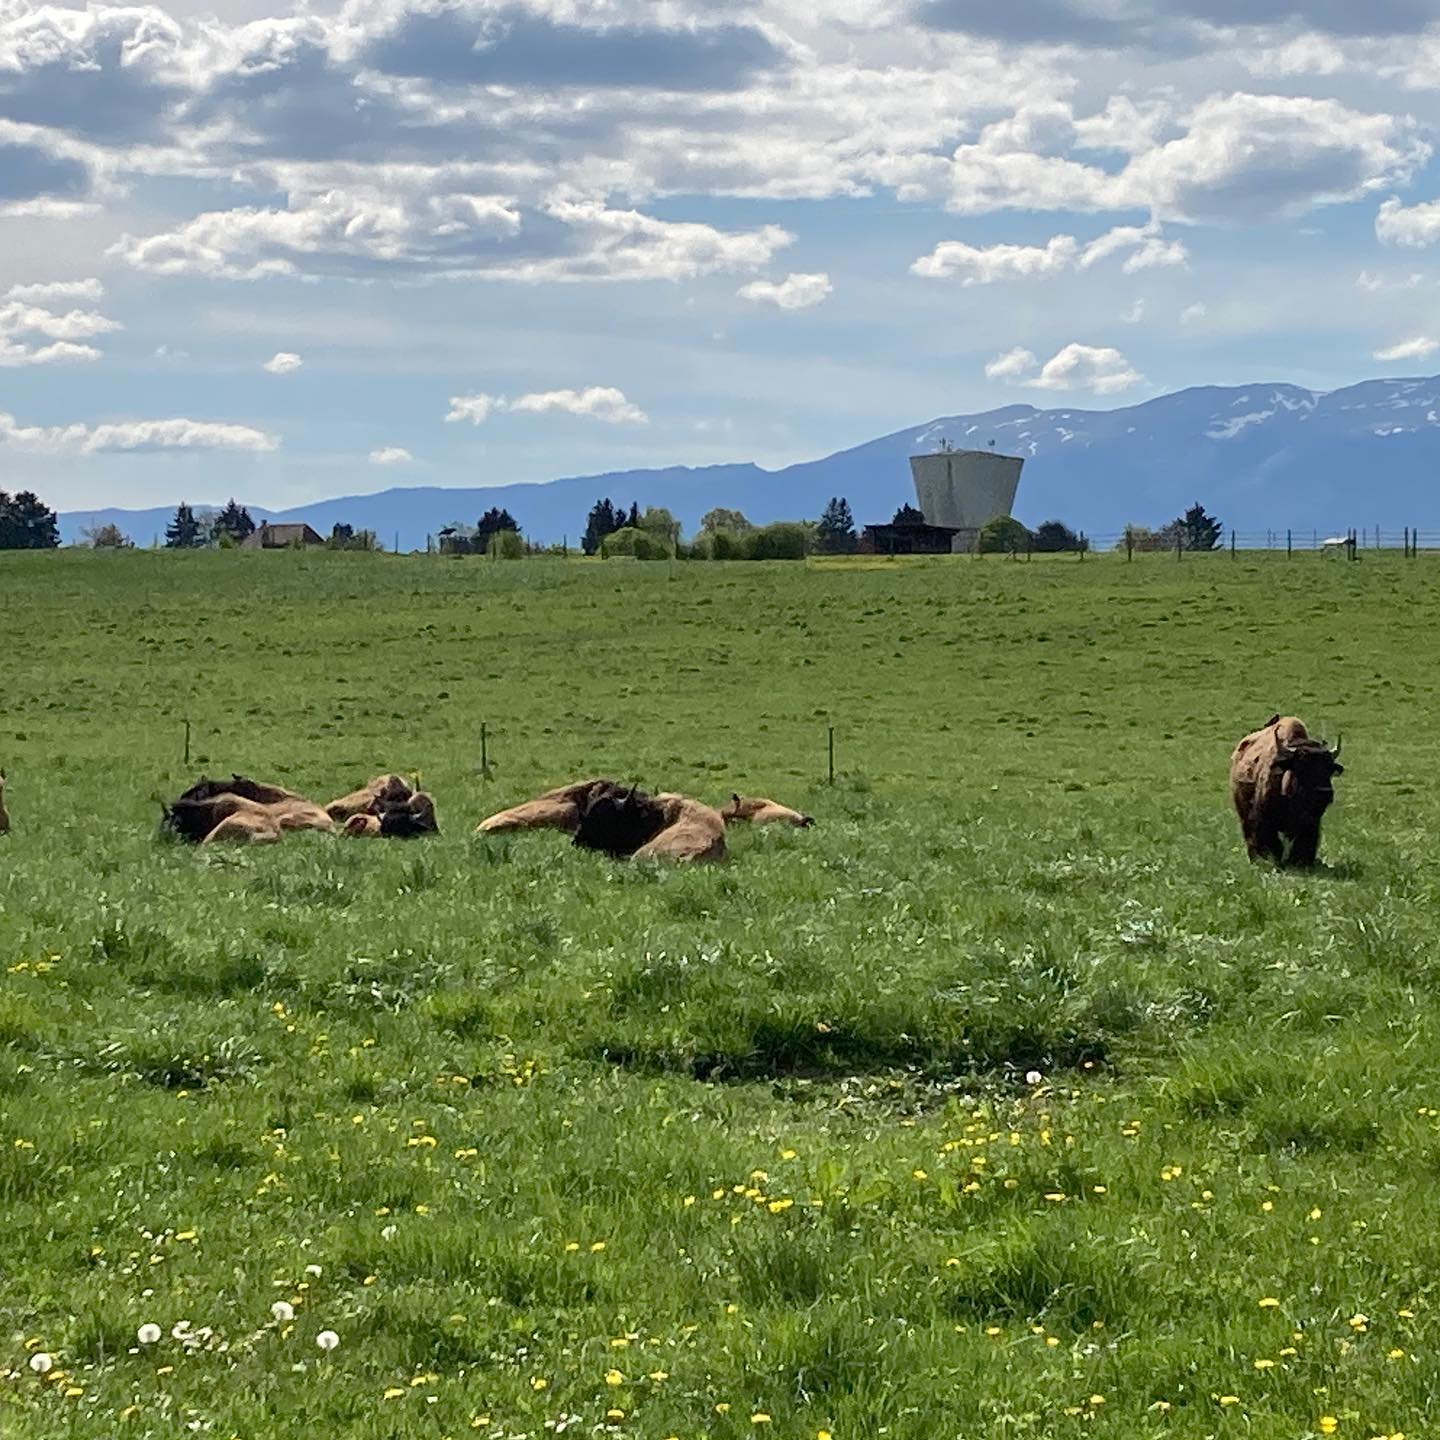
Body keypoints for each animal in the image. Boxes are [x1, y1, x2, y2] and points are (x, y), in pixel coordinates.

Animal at [1229, 713, 1344, 868]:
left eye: (1330, 768)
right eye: (1301, 765)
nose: (1324, 792)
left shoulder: (1311, 822)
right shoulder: (1265, 819)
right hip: (1244, 812)